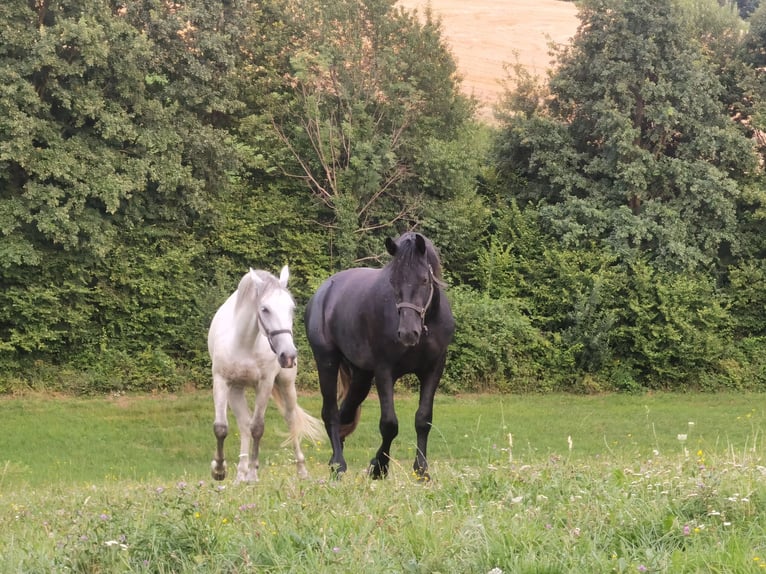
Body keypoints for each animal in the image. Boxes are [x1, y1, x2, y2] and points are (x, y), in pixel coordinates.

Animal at [208, 268, 322, 484]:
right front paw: (219, 469)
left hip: (286, 385)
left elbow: (258, 428)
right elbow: (221, 428)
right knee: (244, 424)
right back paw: (240, 475)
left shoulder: (265, 383)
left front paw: (253, 474)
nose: (288, 356)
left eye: (291, 308)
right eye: (265, 309)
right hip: (236, 390)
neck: (243, 342)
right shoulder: (221, 381)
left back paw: (301, 470)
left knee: (290, 420)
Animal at [304, 232, 456, 480]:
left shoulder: (433, 369)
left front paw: (421, 472)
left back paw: (335, 459)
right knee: (331, 413)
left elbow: (423, 420)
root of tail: (324, 291)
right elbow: (389, 424)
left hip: (360, 377)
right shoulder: (384, 371)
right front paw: (379, 467)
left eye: (424, 280)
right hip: (327, 362)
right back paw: (338, 465)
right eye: (393, 282)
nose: (408, 333)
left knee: (345, 414)